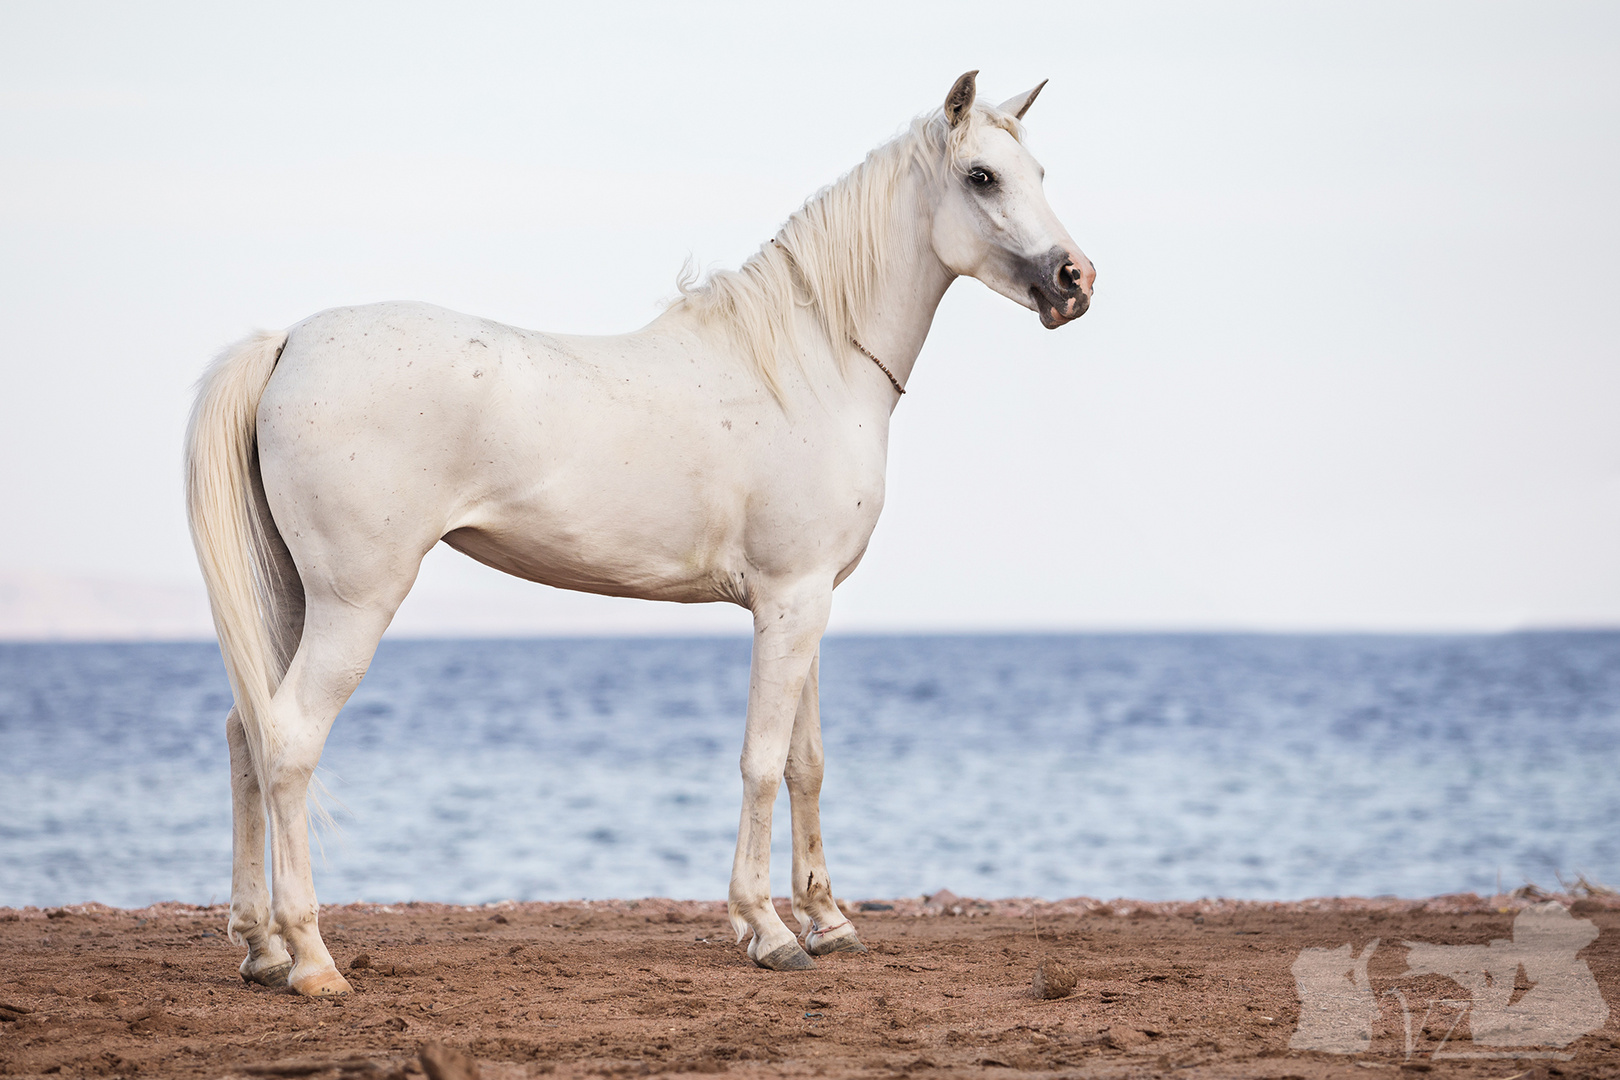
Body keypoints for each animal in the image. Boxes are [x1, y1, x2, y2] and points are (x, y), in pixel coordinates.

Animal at [192, 69, 1101, 997]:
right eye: (982, 177)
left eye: (1036, 173)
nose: (1076, 279)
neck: (811, 364)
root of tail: (290, 342)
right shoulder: (787, 602)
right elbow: (761, 761)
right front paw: (768, 929)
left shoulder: (808, 603)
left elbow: (805, 761)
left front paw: (832, 921)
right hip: (355, 602)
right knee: (290, 738)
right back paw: (312, 959)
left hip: (292, 598)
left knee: (246, 732)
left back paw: (261, 946)